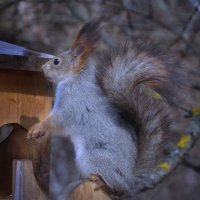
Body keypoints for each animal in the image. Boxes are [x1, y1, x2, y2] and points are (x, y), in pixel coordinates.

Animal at [26, 19, 188, 198]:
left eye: (56, 61)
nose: (42, 69)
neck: (76, 79)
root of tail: (130, 179)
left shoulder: (71, 104)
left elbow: (57, 121)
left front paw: (37, 128)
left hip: (92, 157)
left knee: (116, 187)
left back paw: (100, 180)